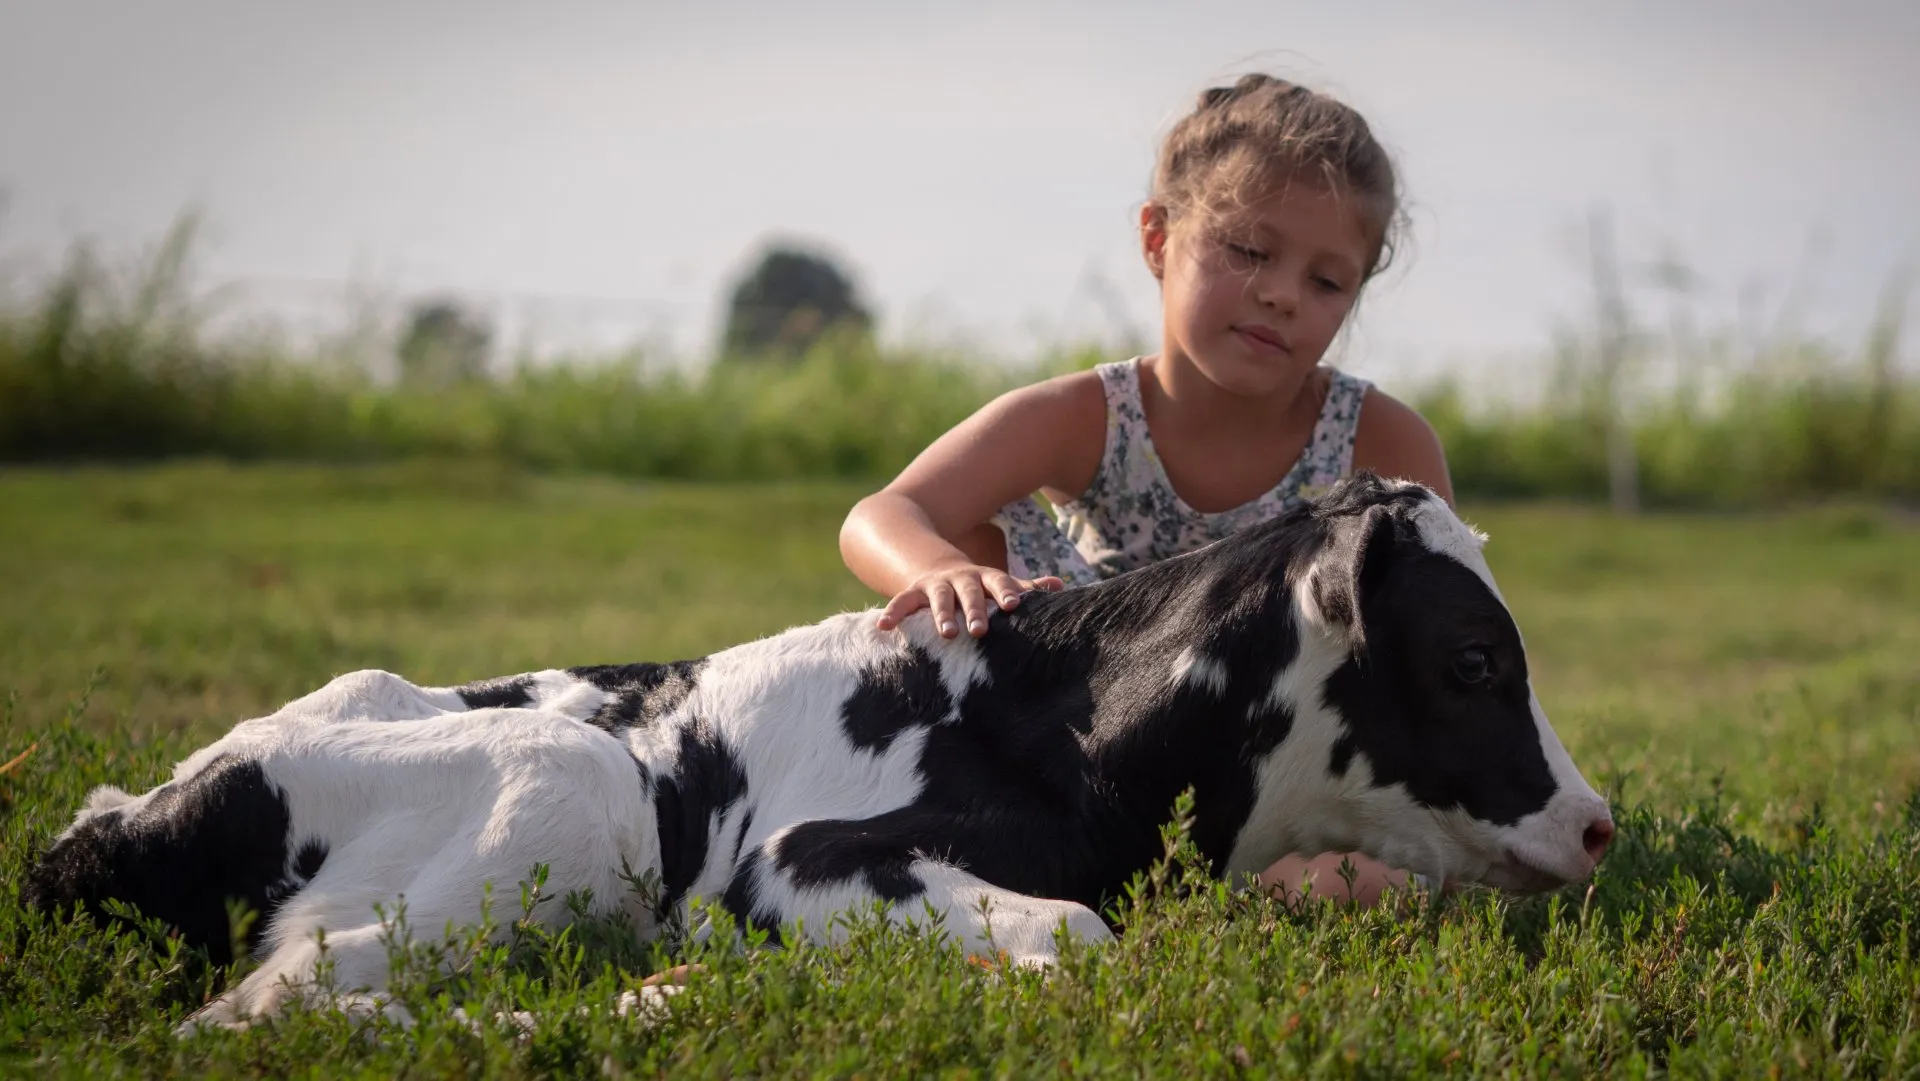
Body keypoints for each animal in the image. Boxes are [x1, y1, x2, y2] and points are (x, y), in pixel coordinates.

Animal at [25, 472, 1614, 1032]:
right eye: (1475, 657)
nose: (1598, 822)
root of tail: (110, 816)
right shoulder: (799, 859)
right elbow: (1080, 936)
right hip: (578, 787)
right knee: (266, 1008)